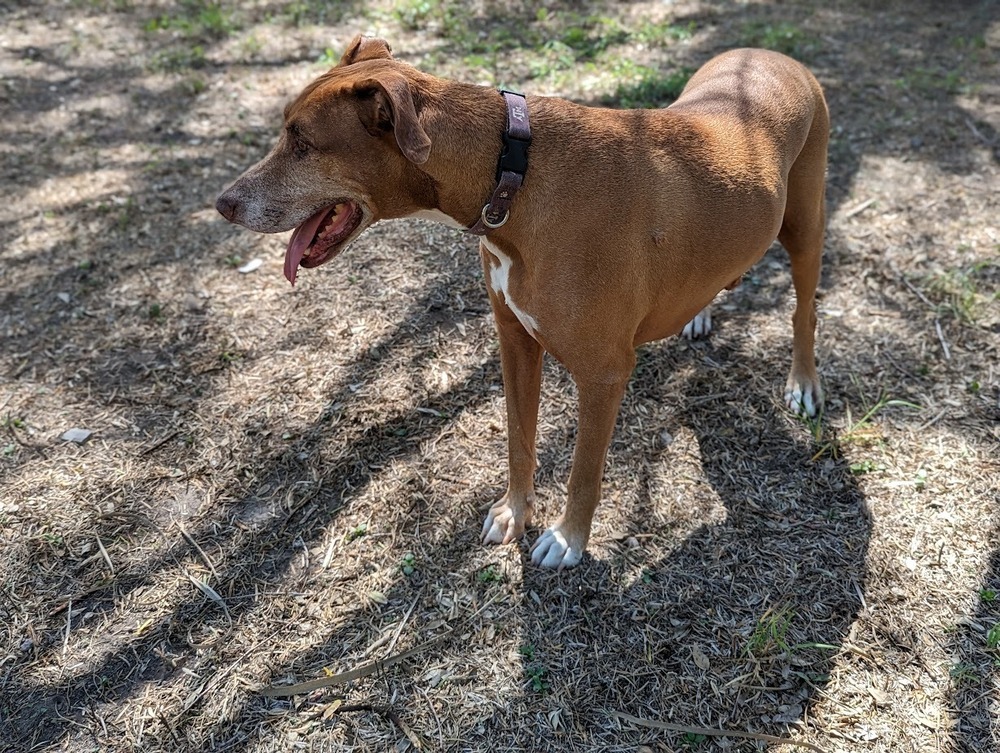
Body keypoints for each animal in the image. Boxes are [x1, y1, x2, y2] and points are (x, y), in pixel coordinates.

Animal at [219, 33, 828, 564]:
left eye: (303, 143)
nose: (223, 203)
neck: (512, 174)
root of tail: (772, 54)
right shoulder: (514, 340)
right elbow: (519, 439)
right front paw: (516, 512)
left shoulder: (604, 373)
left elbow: (584, 471)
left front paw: (567, 539)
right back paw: (699, 314)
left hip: (805, 228)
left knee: (805, 313)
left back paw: (802, 383)